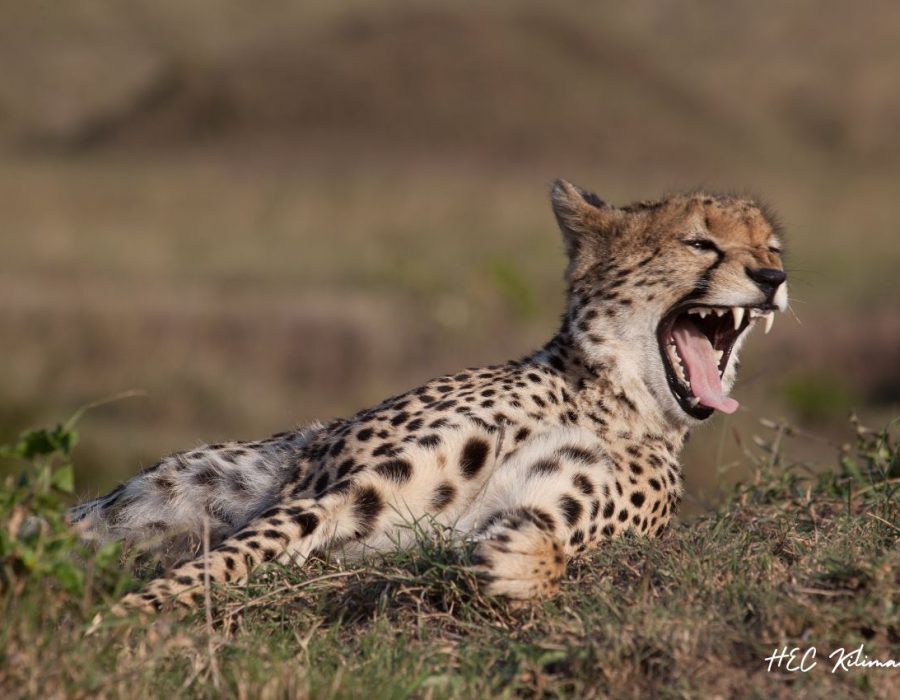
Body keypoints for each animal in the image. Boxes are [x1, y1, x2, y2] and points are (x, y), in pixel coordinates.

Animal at [70, 180, 788, 612]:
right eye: (699, 242)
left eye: (772, 247)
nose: (773, 277)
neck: (607, 401)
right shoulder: (340, 490)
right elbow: (238, 553)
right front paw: (128, 618)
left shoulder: (549, 503)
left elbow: (549, 540)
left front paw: (525, 565)